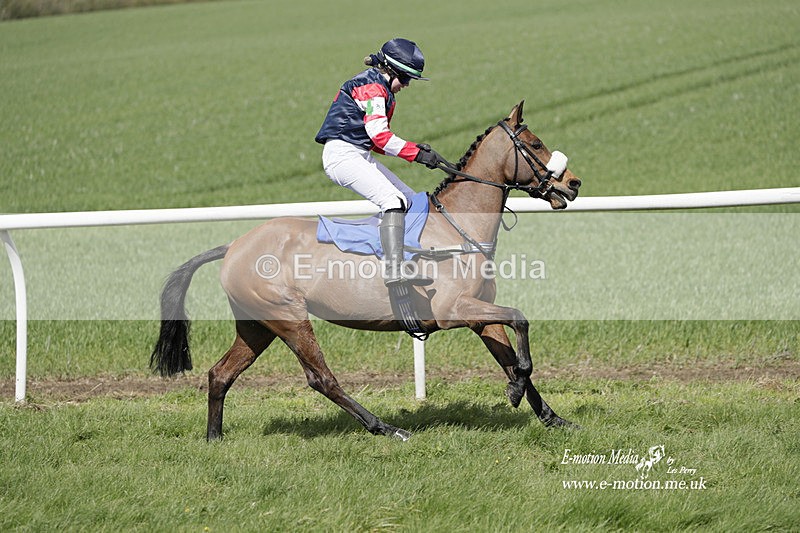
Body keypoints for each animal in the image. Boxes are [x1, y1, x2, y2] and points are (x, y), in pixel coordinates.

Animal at [151, 101, 582, 441]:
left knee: (220, 373)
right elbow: (521, 321)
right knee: (321, 379)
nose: (573, 183)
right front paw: (516, 390)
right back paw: (387, 428)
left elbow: (512, 356)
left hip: (257, 325)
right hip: (289, 319)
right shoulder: (454, 310)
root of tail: (235, 245)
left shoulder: (480, 314)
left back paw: (214, 438)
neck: (457, 228)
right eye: (535, 144)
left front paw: (550, 415)